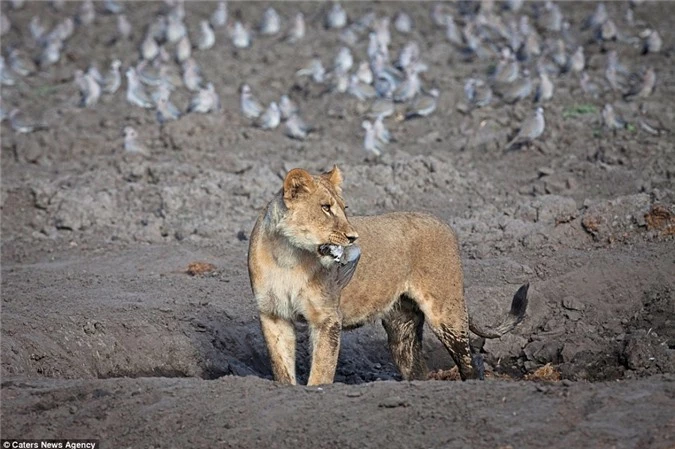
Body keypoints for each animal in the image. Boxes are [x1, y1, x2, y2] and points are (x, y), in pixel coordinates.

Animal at [248, 166, 528, 384]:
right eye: (325, 208)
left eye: (344, 208)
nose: (353, 237)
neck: (288, 256)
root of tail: (442, 222)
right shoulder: (273, 315)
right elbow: (281, 368)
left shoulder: (327, 318)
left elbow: (321, 372)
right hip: (401, 326)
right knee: (416, 367)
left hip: (446, 310)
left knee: (469, 360)